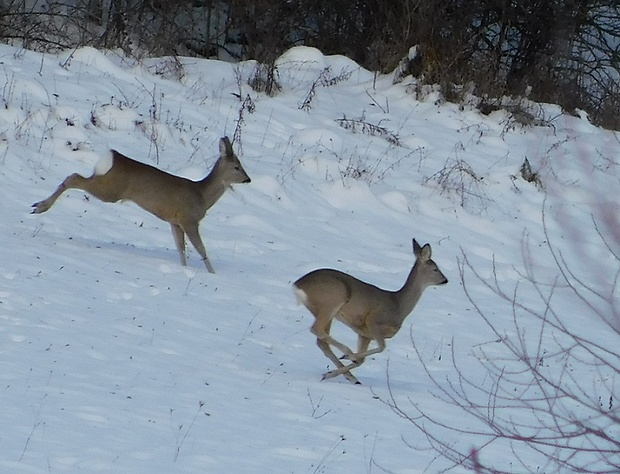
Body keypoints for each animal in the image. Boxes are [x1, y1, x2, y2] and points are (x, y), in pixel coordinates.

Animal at [30, 135, 249, 272]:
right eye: (237, 167)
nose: (248, 179)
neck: (202, 196)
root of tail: (113, 157)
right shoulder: (189, 220)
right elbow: (201, 249)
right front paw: (213, 274)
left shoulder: (175, 222)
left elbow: (181, 249)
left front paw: (184, 269)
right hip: (110, 191)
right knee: (73, 177)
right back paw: (40, 207)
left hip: (104, 185)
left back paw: (37, 206)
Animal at [294, 239, 448, 384]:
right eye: (435, 268)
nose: (445, 280)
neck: (399, 305)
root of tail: (298, 285)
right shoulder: (373, 321)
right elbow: (381, 347)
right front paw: (348, 358)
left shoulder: (365, 334)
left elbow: (363, 360)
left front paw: (335, 371)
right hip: (333, 299)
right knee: (317, 330)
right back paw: (349, 355)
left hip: (324, 310)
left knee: (321, 340)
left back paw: (350, 376)